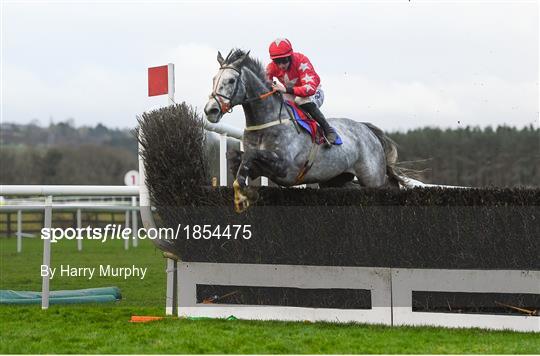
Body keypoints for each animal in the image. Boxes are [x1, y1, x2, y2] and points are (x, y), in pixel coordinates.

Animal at [205, 49, 402, 211]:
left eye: (231, 80)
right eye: (214, 79)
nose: (211, 110)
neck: (267, 121)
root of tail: (368, 130)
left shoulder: (284, 167)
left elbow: (250, 155)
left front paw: (242, 192)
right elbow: (234, 156)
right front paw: (241, 185)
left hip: (372, 179)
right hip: (335, 179)